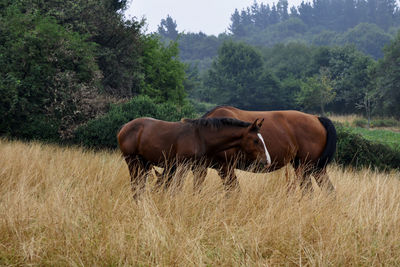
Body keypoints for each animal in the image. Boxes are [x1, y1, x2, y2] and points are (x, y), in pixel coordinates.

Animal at [118, 117, 268, 199]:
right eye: (255, 140)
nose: (266, 161)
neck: (200, 136)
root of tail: (123, 127)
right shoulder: (183, 165)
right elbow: (177, 188)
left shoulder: (198, 168)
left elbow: (196, 189)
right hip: (132, 161)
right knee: (135, 186)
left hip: (144, 164)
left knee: (140, 187)